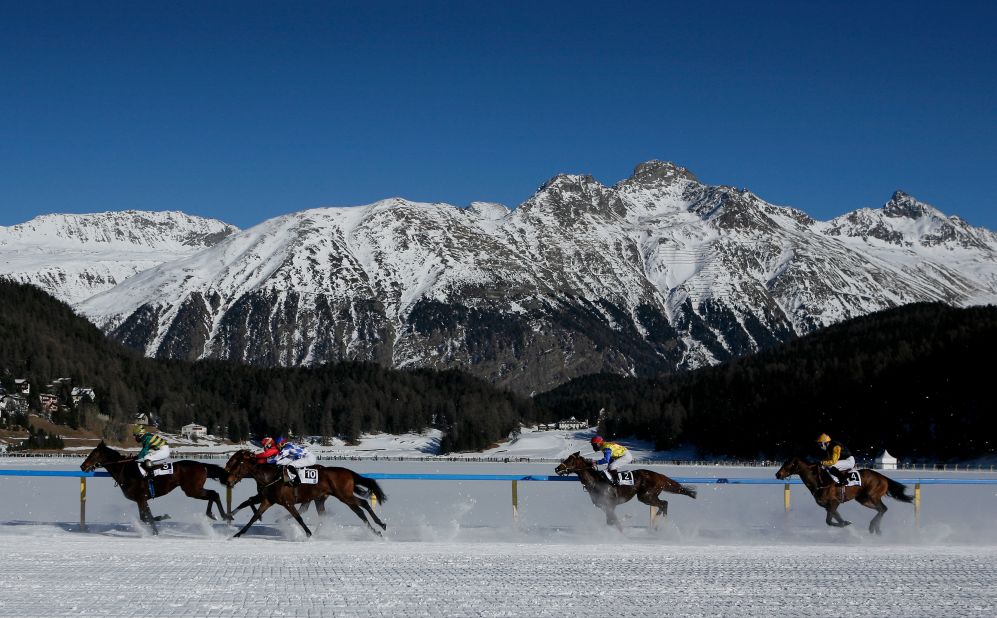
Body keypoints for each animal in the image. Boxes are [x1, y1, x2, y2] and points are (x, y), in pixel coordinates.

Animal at [79, 438, 231, 536]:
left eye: (93, 454)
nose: (82, 466)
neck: (125, 469)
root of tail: (202, 465)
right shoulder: (142, 499)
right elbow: (147, 516)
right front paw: (156, 530)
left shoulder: (141, 497)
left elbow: (145, 517)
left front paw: (163, 518)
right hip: (194, 489)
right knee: (213, 494)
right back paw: (217, 515)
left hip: (192, 490)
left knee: (214, 494)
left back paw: (221, 515)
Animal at [224, 446, 388, 536]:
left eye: (237, 462)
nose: (228, 480)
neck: (270, 475)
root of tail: (349, 472)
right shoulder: (267, 499)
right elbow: (253, 514)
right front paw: (237, 531)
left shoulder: (287, 502)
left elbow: (298, 518)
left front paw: (308, 534)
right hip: (324, 498)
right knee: (355, 510)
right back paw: (376, 529)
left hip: (344, 495)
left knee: (362, 505)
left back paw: (380, 526)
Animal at [552, 450, 692, 528]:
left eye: (570, 460)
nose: (557, 468)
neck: (596, 482)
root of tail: (659, 475)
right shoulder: (603, 506)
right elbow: (611, 521)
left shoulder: (610, 504)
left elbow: (613, 521)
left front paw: (627, 518)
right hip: (649, 495)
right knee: (663, 504)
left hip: (645, 496)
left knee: (663, 504)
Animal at [776, 454, 916, 532]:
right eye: (784, 462)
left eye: (789, 464)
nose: (778, 474)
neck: (819, 481)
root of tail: (883, 477)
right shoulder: (828, 506)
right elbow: (836, 518)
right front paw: (845, 523)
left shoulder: (834, 502)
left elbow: (828, 521)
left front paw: (846, 524)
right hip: (863, 499)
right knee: (881, 509)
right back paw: (876, 528)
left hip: (872, 495)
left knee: (883, 508)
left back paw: (873, 527)